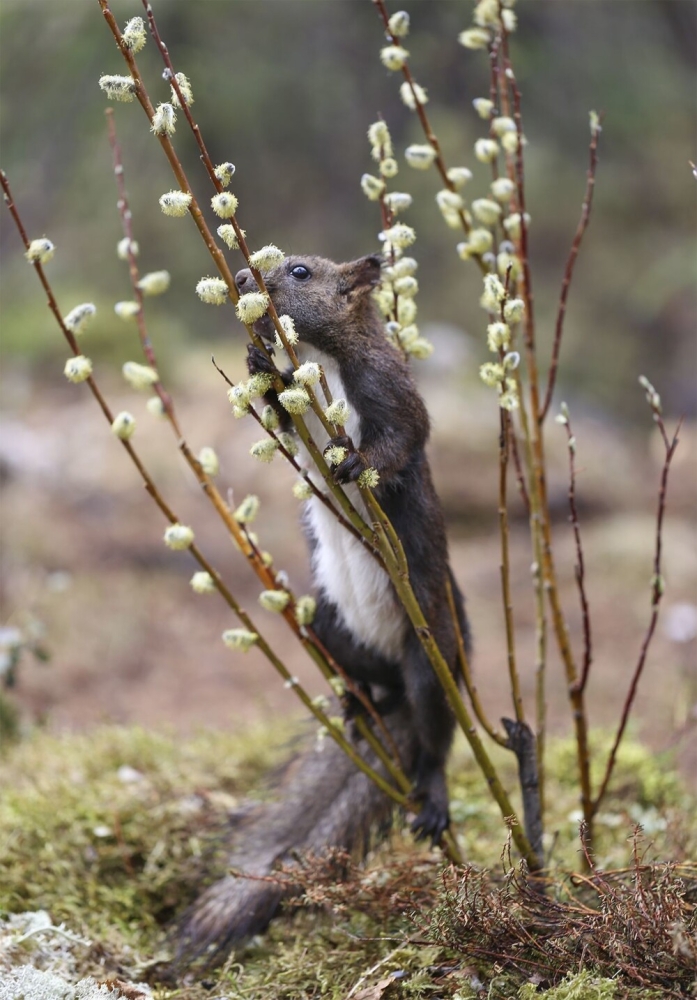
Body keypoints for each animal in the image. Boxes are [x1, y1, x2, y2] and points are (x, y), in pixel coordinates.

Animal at [178, 254, 469, 961]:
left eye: (302, 271)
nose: (246, 280)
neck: (318, 359)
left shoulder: (391, 389)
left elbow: (404, 437)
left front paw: (354, 462)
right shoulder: (292, 413)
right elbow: (280, 418)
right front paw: (257, 362)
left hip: (430, 653)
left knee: (433, 737)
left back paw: (431, 792)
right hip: (329, 623)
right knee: (365, 676)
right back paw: (354, 703)